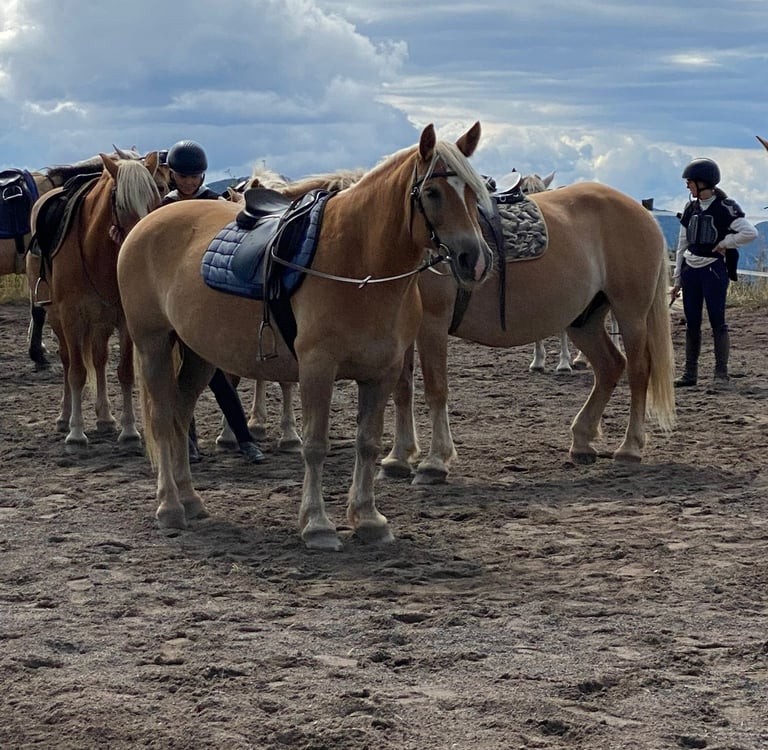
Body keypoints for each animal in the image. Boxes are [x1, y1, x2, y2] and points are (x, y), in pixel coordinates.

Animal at [29, 151, 166, 451]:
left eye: (157, 194)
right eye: (120, 201)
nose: (141, 242)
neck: (96, 252)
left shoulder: (123, 318)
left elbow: (124, 372)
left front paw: (129, 431)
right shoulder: (71, 317)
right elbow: (77, 372)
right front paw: (76, 434)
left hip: (100, 323)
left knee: (100, 359)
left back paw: (105, 417)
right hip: (58, 319)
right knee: (68, 360)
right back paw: (64, 417)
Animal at [117, 122, 494, 551]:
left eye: (474, 191)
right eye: (432, 192)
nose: (475, 261)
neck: (358, 263)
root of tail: (147, 224)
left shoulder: (381, 374)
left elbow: (368, 442)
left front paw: (368, 519)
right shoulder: (317, 368)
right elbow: (315, 446)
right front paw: (317, 524)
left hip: (199, 354)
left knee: (180, 415)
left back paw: (190, 499)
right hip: (153, 344)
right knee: (163, 419)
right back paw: (169, 507)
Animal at [379, 180, 676, 484]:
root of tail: (642, 213)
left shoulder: (433, 323)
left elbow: (435, 388)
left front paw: (434, 462)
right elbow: (402, 388)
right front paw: (398, 458)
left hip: (631, 314)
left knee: (638, 370)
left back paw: (630, 448)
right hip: (584, 321)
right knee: (610, 366)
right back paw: (582, 440)